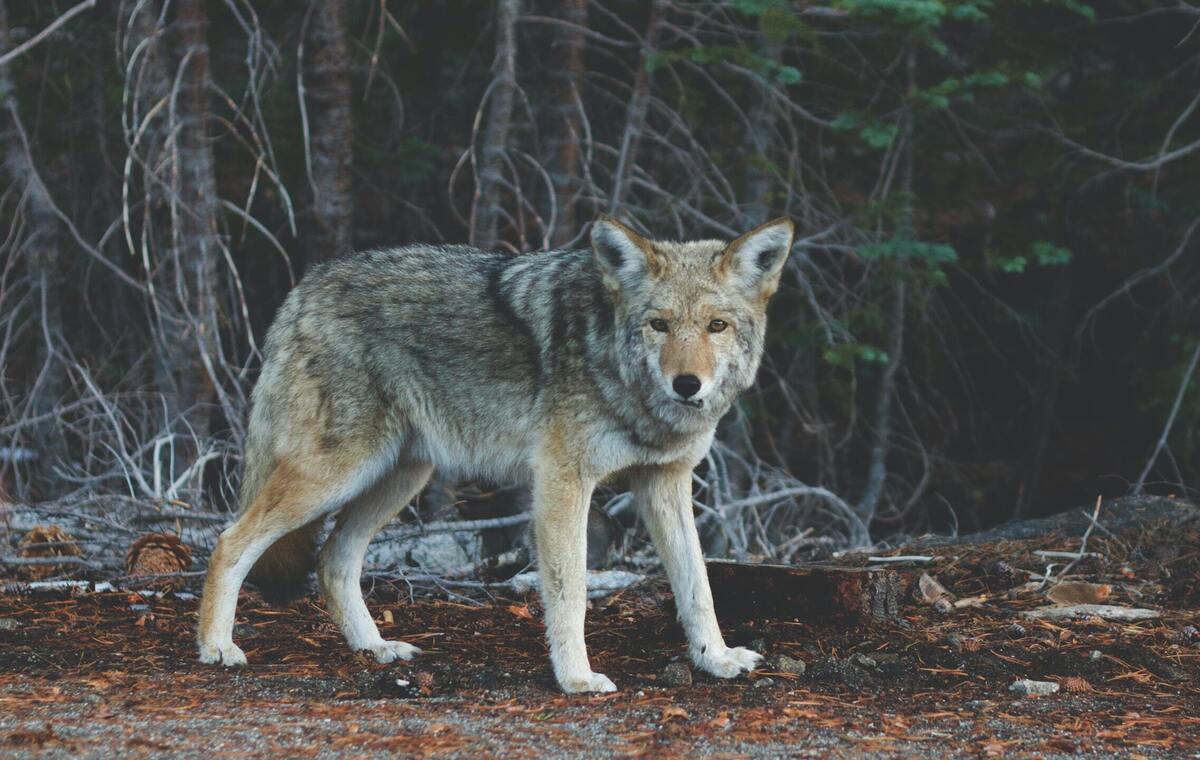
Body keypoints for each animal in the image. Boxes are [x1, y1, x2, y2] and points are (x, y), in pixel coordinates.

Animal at [196, 214, 796, 691]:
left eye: (716, 326)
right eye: (660, 325)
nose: (687, 385)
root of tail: (307, 284)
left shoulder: (664, 482)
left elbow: (698, 585)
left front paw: (716, 659)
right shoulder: (562, 481)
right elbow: (571, 591)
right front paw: (576, 679)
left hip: (399, 477)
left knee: (332, 559)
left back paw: (376, 648)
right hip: (337, 474)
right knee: (230, 541)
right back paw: (217, 648)